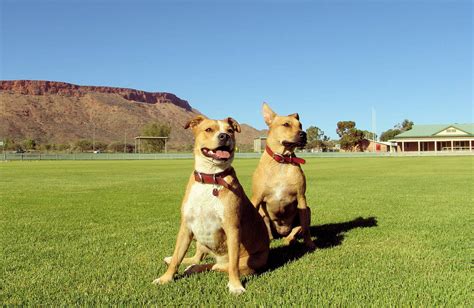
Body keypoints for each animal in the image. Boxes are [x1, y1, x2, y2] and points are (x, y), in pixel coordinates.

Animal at [154, 115, 268, 294]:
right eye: (208, 129)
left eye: (230, 130)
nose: (224, 136)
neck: (210, 178)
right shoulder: (186, 227)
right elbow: (177, 257)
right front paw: (166, 278)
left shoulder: (232, 228)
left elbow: (233, 266)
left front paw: (235, 286)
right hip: (199, 239)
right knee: (196, 258)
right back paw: (177, 260)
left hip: (248, 261)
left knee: (217, 266)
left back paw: (197, 268)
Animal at [252, 104, 314, 250]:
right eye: (286, 124)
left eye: (300, 125)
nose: (303, 134)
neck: (282, 161)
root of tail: (281, 232)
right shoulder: (256, 198)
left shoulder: (301, 197)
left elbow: (305, 228)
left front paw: (309, 244)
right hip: (262, 214)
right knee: (268, 233)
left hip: (307, 210)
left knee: (297, 229)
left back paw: (290, 239)